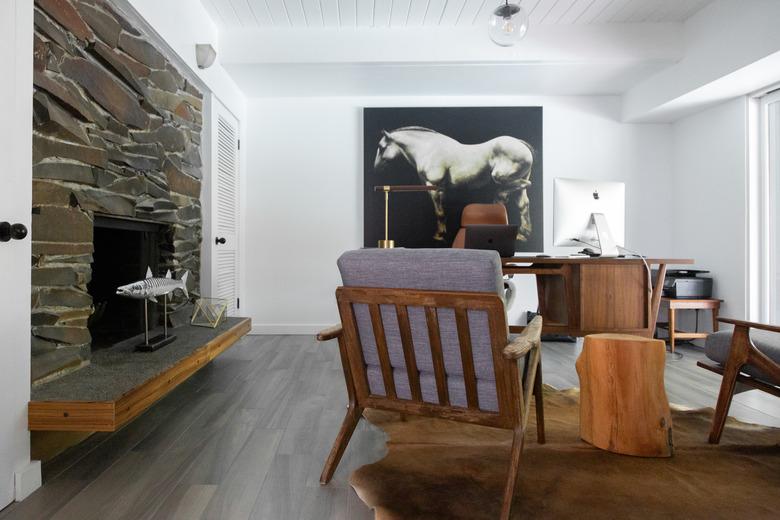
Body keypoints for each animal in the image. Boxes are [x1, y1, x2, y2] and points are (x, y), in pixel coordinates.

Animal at [374, 128, 536, 244]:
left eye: (382, 147)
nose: (376, 168)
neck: (428, 150)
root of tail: (522, 144)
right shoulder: (441, 189)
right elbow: (443, 211)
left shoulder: (434, 187)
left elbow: (439, 212)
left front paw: (439, 235)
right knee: (523, 204)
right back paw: (523, 234)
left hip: (501, 177)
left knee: (520, 187)